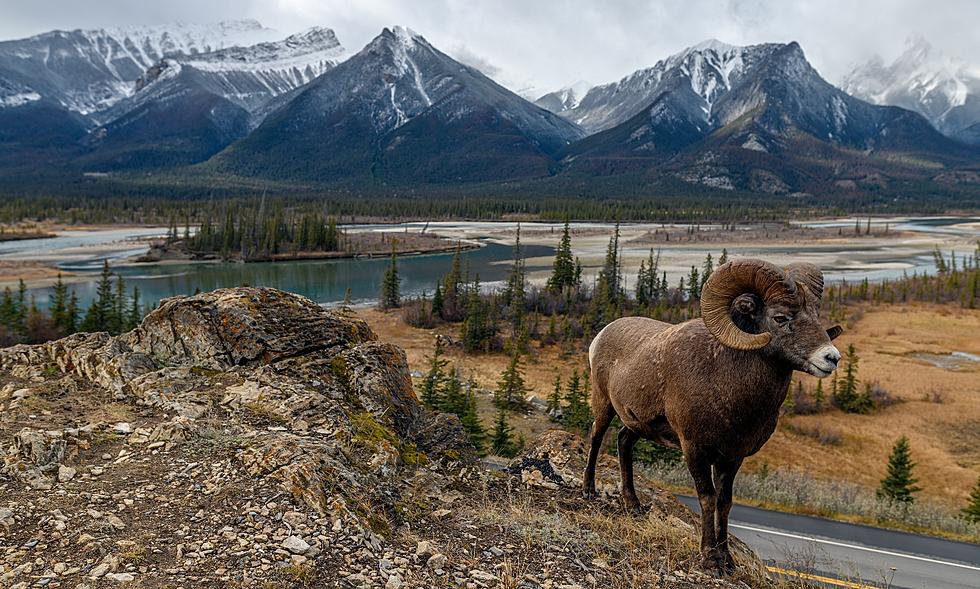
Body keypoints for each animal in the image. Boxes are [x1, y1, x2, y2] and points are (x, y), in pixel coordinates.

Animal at [580, 258, 844, 568]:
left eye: (816, 316)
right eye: (780, 318)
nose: (831, 358)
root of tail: (602, 334)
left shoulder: (733, 457)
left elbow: (724, 502)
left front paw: (726, 559)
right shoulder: (695, 449)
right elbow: (707, 497)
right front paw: (709, 558)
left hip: (637, 424)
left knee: (623, 442)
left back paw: (633, 505)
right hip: (603, 404)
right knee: (596, 437)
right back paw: (588, 491)